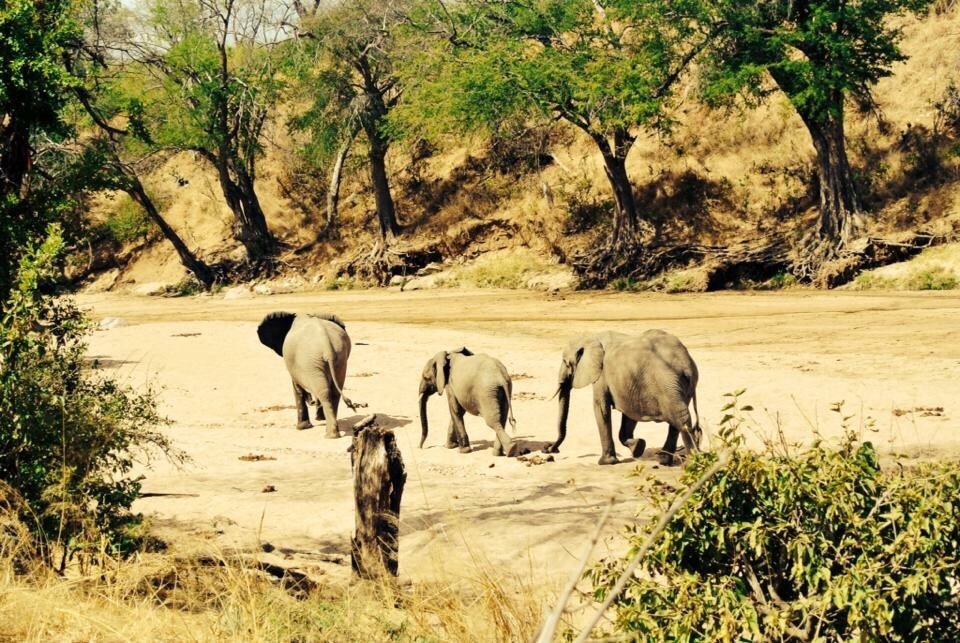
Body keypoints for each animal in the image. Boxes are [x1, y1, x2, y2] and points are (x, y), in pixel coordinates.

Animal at [544, 330, 701, 466]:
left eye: (566, 363)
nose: (549, 448)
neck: (592, 337)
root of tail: (686, 365)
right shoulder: (630, 386)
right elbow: (629, 415)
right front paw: (638, 447)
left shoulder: (601, 375)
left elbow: (601, 408)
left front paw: (605, 463)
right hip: (678, 387)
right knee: (677, 420)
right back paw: (664, 461)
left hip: (666, 384)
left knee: (681, 418)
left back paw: (694, 463)